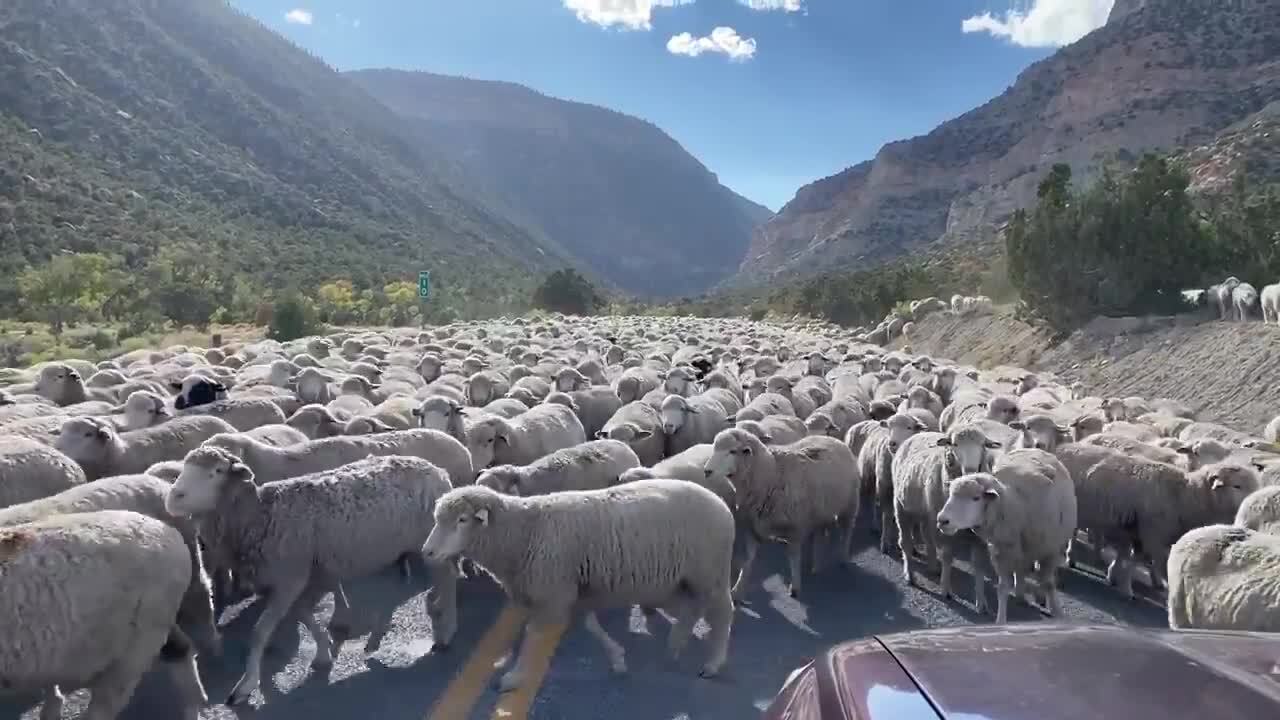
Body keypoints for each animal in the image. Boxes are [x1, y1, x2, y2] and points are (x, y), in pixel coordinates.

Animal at [167, 449, 458, 706]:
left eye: (216, 472)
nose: (173, 496)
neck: (260, 516)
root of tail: (438, 471)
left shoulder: (290, 578)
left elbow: (261, 632)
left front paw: (245, 686)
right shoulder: (304, 576)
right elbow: (304, 615)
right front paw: (323, 652)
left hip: (432, 545)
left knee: (448, 583)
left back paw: (444, 634)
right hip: (398, 550)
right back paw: (376, 640)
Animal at [421, 480, 734, 690]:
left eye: (462, 520)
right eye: (437, 519)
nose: (427, 552)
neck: (523, 532)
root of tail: (722, 504)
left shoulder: (552, 595)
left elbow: (533, 635)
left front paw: (514, 677)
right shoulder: (572, 591)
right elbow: (591, 626)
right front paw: (617, 658)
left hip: (711, 573)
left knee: (722, 614)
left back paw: (712, 664)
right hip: (684, 579)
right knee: (692, 610)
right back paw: (675, 646)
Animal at [705, 429, 859, 599]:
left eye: (732, 451)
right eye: (714, 448)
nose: (707, 471)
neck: (770, 475)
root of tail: (831, 438)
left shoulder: (795, 529)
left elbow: (794, 558)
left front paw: (795, 587)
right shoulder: (753, 527)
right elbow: (748, 560)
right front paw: (737, 590)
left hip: (850, 506)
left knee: (847, 531)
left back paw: (843, 558)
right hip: (821, 512)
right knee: (820, 534)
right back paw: (816, 566)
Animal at [935, 449, 1077, 622]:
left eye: (976, 498)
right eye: (950, 495)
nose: (942, 520)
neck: (1012, 503)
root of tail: (1034, 449)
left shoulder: (1050, 552)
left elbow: (1049, 585)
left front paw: (1057, 613)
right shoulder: (1001, 552)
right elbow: (1002, 588)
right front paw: (1001, 620)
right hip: (1002, 547)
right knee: (1000, 570)